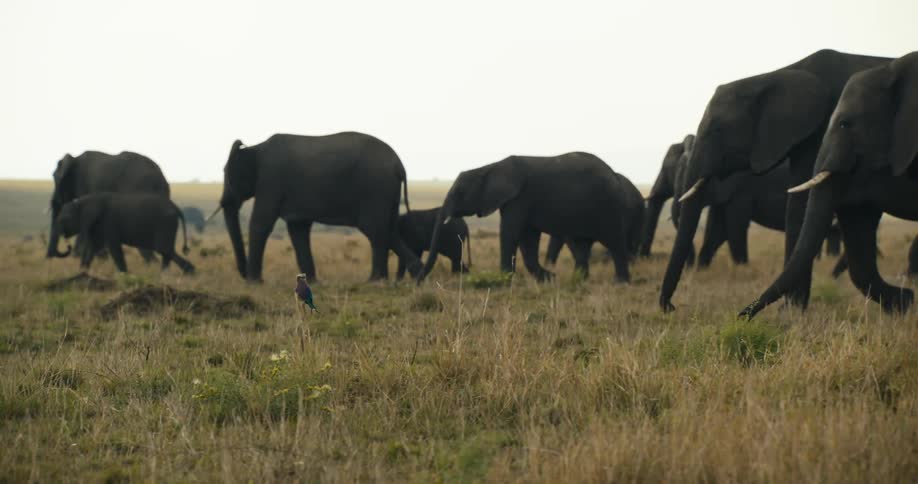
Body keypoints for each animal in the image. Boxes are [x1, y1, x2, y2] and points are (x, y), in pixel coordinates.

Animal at [55, 193, 194, 274]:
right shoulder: (96, 224)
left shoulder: (108, 222)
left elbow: (114, 247)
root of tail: (176, 207)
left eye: (65, 219)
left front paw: (125, 275)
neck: (83, 201)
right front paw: (82, 273)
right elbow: (93, 248)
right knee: (166, 251)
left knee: (163, 249)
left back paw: (186, 273)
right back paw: (169, 274)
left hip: (165, 224)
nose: (68, 246)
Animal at [212, 132, 421, 283]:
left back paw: (375, 281)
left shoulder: (270, 179)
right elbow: (298, 230)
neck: (255, 148)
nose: (243, 273)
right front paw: (311, 282)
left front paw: (254, 283)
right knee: (389, 230)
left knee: (376, 231)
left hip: (376, 189)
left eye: (226, 174)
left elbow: (261, 223)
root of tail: (399, 165)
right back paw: (414, 276)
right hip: (387, 192)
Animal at [417, 152, 644, 283]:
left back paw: (620, 282)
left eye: (459, 193)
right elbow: (528, 239)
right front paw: (549, 278)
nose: (417, 281)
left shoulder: (520, 198)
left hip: (609, 207)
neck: (489, 167)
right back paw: (579, 280)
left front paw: (505, 279)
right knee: (581, 246)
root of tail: (614, 175)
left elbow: (511, 232)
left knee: (614, 243)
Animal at [659, 49, 892, 312]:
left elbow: (740, 225)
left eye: (717, 130)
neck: (772, 76)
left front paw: (791, 309)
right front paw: (793, 309)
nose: (671, 307)